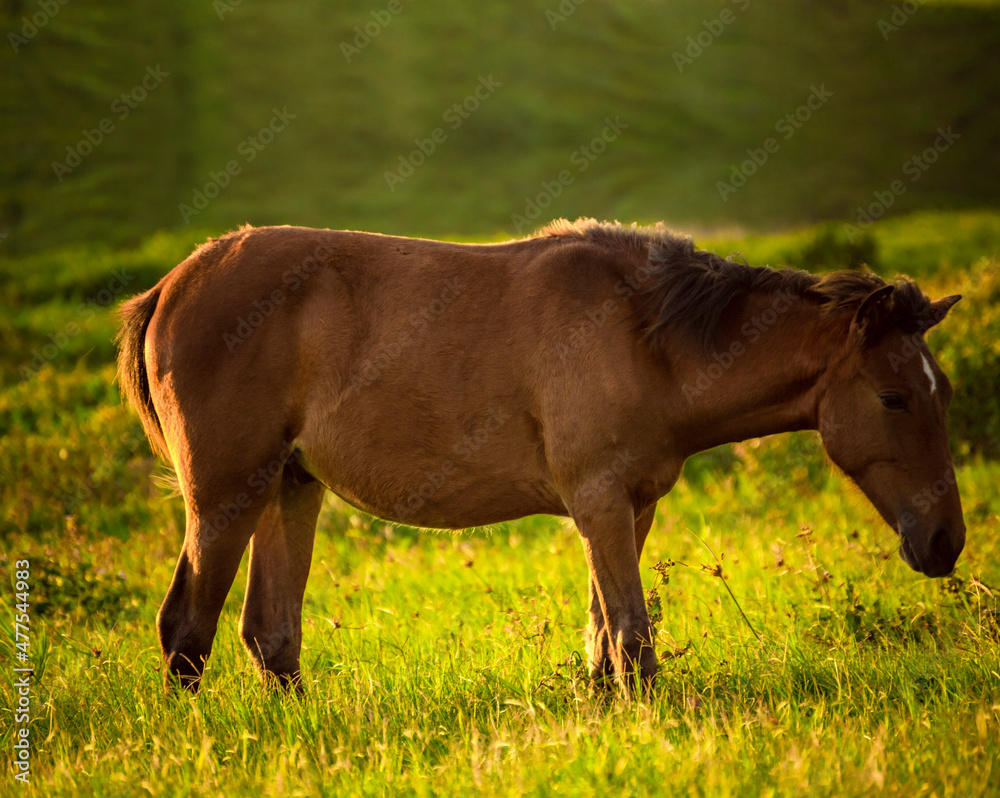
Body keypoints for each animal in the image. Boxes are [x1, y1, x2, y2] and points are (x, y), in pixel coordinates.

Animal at [116, 219, 965, 692]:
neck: (643, 337)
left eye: (944, 392)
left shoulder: (630, 507)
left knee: (271, 636)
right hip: (225, 497)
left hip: (289, 487)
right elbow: (632, 641)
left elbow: (604, 645)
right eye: (894, 398)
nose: (946, 541)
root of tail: (171, 287)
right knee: (186, 631)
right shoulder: (599, 503)